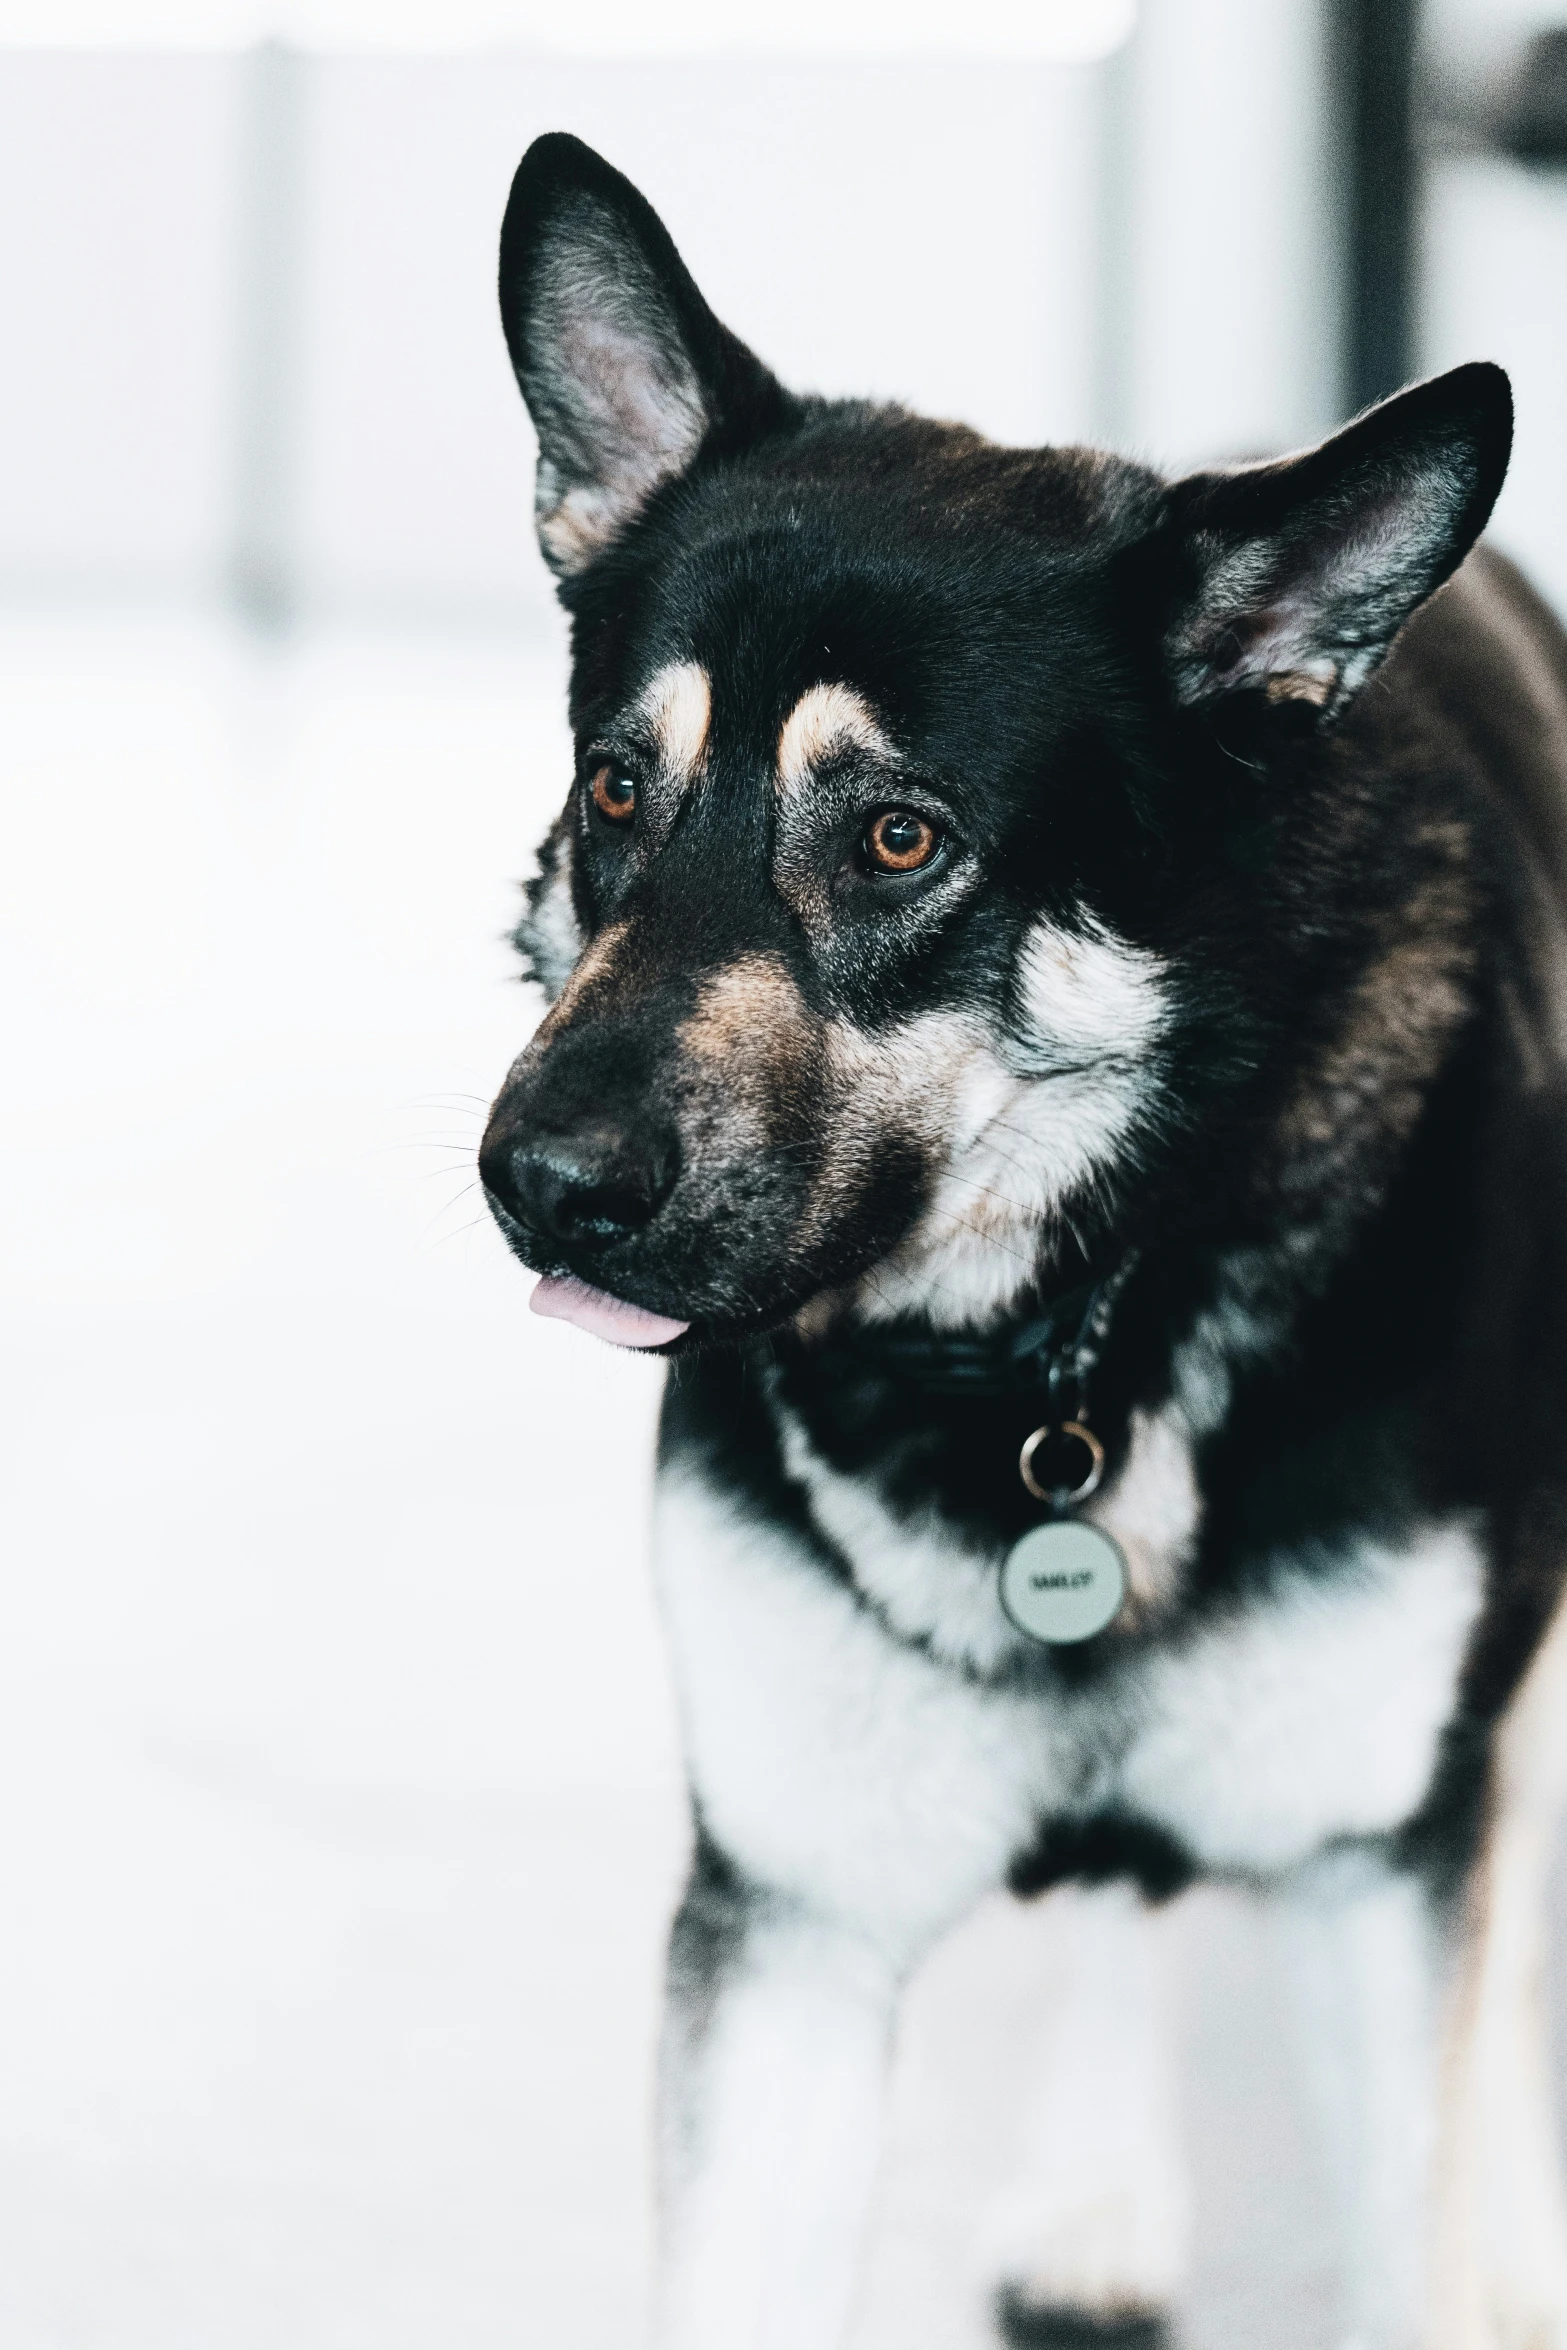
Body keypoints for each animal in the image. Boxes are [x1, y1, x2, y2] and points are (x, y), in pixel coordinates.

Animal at [481, 133, 1567, 2350]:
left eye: (902, 837)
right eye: (618, 791)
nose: (535, 1180)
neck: (1068, 1324)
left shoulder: (1379, 1869)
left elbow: (1428, 2134)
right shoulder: (790, 1934)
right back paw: (1095, 2189)